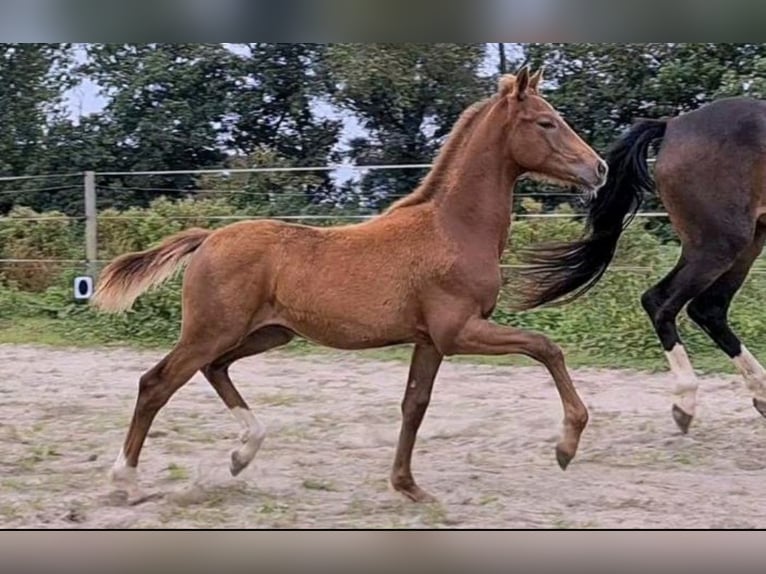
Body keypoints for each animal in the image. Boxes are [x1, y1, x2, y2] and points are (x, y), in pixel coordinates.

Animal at [91, 67, 608, 506]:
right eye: (546, 122)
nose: (599, 168)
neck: (453, 228)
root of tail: (208, 239)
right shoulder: (458, 330)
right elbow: (545, 346)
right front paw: (566, 444)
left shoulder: (429, 340)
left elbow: (414, 405)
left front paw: (407, 486)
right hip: (212, 330)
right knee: (156, 383)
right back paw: (126, 482)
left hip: (265, 333)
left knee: (215, 369)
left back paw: (242, 454)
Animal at [520, 95, 766, 436]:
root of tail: (674, 125)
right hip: (720, 244)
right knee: (663, 302)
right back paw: (685, 403)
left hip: (744, 244)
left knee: (708, 309)